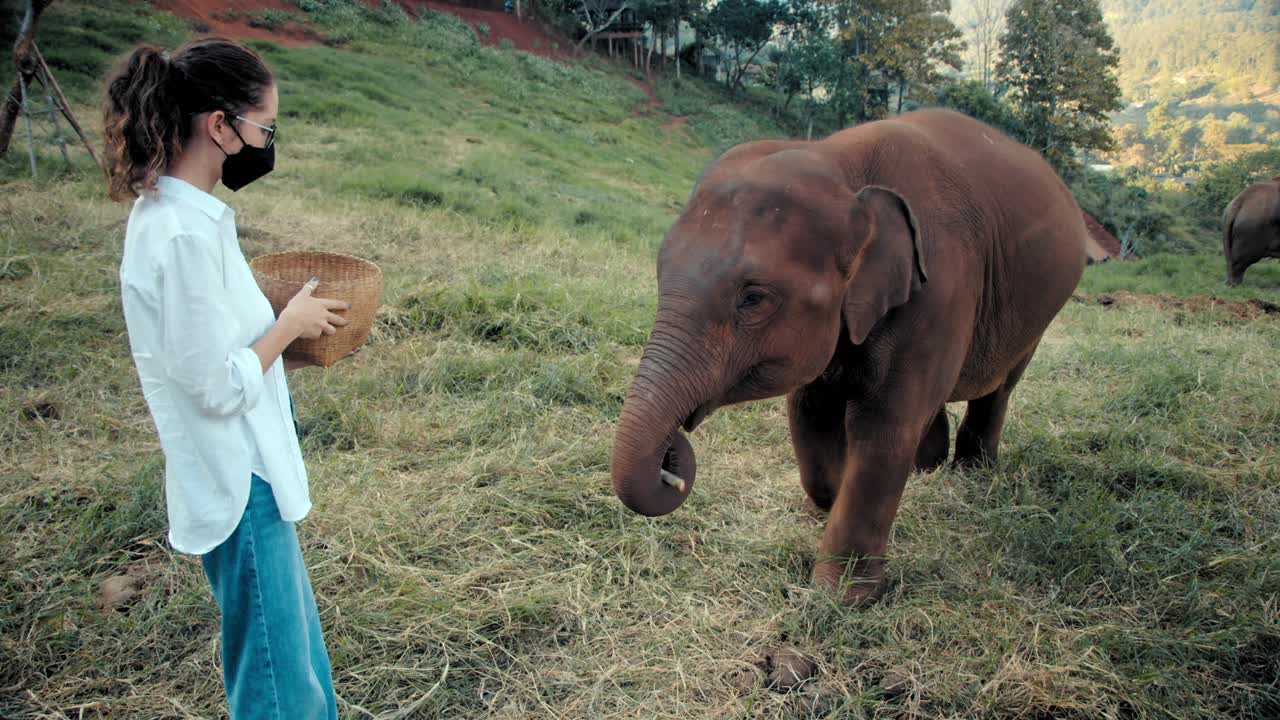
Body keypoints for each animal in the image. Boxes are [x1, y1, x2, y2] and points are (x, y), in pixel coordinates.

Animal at [609, 108, 1088, 604]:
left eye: (753, 299)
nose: (672, 463)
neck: (841, 166)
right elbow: (809, 412)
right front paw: (825, 507)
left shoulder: (941, 291)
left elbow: (883, 429)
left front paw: (842, 597)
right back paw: (927, 467)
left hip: (1039, 313)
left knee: (1001, 388)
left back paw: (972, 474)